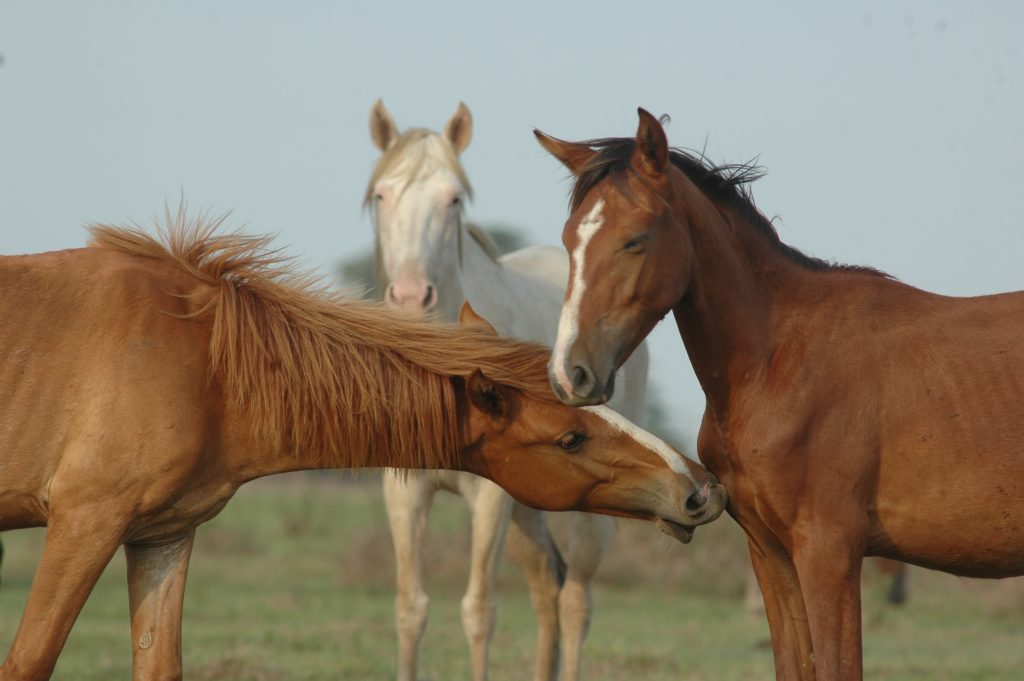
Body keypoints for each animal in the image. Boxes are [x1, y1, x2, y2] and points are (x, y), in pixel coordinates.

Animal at [0, 210, 729, 679]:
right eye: (571, 436)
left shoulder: (161, 536)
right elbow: (29, 659)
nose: (699, 488)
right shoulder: (85, 522)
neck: (200, 360)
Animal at [368, 99, 651, 679]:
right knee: (548, 587)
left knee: (575, 601)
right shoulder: (405, 490)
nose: (409, 296)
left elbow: (479, 612)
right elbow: (411, 610)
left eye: (454, 199)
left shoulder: (491, 498)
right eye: (381, 195)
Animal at [532, 109, 1024, 675]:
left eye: (636, 238)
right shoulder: (770, 553)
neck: (778, 363)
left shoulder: (829, 553)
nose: (569, 373)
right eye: (570, 240)